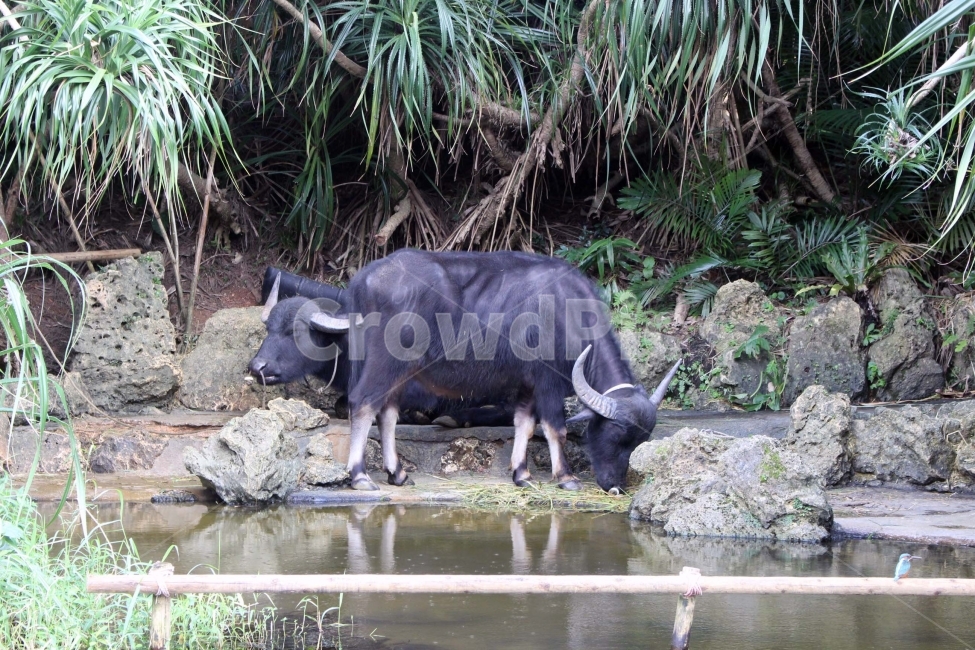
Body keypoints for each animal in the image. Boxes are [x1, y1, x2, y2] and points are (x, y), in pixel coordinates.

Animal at [252, 249, 680, 493]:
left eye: (638, 442)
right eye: (616, 434)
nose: (614, 486)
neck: (567, 313)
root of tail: (362, 280)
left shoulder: (525, 386)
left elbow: (525, 424)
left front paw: (521, 474)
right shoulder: (548, 383)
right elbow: (554, 427)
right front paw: (566, 477)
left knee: (386, 412)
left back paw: (397, 473)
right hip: (387, 363)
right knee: (363, 404)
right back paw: (360, 476)